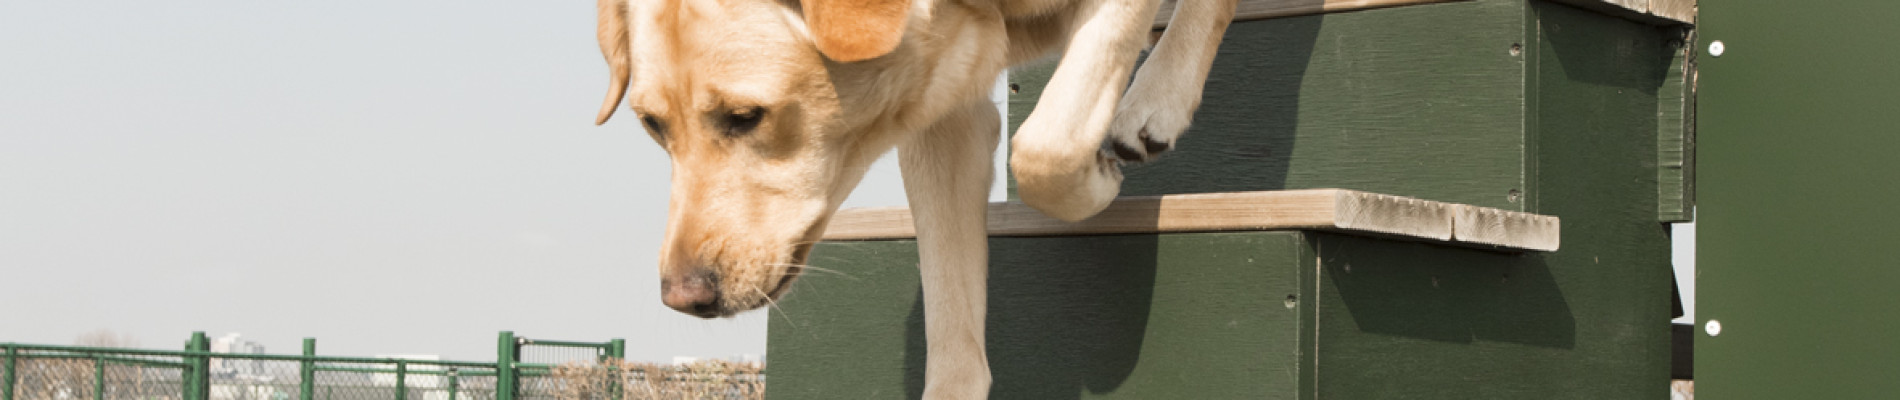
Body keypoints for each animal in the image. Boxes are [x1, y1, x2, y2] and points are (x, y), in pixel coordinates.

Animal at [592, 0, 1238, 396]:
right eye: (653, 126)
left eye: (745, 116)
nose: (682, 297)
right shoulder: (945, 106)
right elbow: (954, 338)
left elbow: (1045, 148)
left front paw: (1099, 176)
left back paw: (1156, 97)